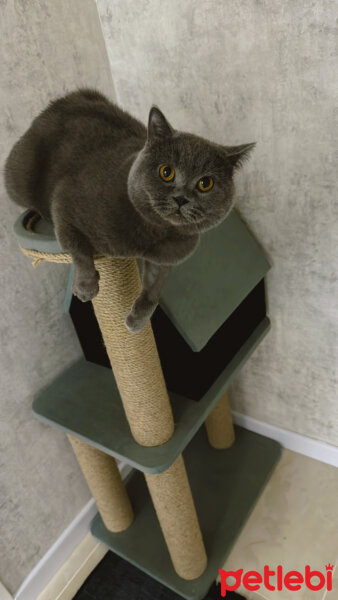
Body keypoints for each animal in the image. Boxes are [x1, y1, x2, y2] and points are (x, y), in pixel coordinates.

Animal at [4, 89, 254, 332]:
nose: (181, 198)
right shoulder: (66, 199)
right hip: (19, 178)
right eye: (166, 172)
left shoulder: (168, 256)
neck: (155, 233)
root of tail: (62, 101)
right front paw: (86, 287)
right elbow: (76, 246)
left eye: (205, 184)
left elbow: (155, 287)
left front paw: (138, 320)